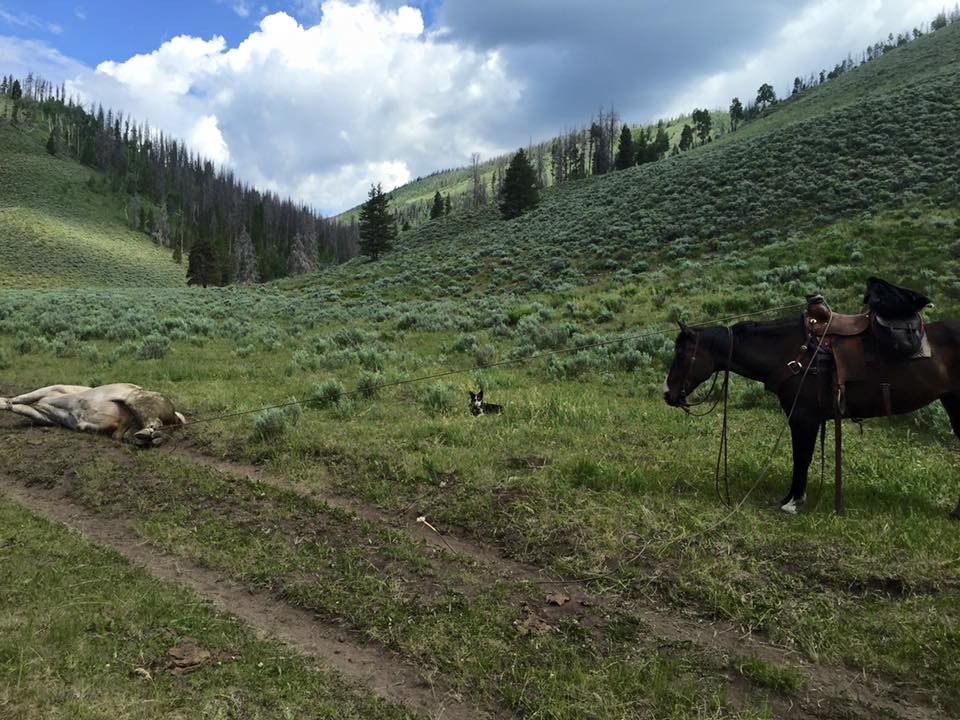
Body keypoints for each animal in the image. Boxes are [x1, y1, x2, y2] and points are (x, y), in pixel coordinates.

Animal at [0, 382, 186, 444]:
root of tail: (176, 415)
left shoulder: (51, 390)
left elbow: (20, 398)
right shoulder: (45, 415)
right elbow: (18, 404)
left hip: (135, 397)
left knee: (154, 422)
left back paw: (149, 435)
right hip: (129, 426)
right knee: (134, 434)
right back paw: (150, 438)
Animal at [664, 316, 960, 516]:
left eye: (681, 354)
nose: (667, 394)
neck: (793, 356)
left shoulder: (803, 418)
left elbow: (801, 457)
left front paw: (793, 502)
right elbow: (803, 457)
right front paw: (792, 498)